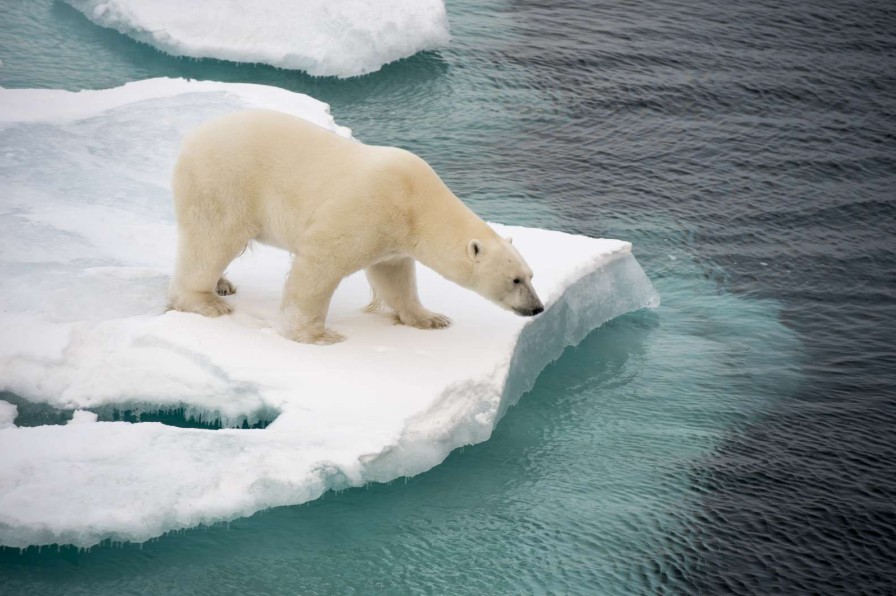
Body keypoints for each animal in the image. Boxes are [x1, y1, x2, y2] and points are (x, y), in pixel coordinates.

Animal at [171, 110, 544, 344]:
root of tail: (192, 137)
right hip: (225, 181)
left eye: (531, 275)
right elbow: (320, 262)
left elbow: (394, 277)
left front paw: (431, 319)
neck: (416, 200)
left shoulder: (394, 235)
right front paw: (315, 335)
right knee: (213, 238)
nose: (537, 308)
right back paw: (206, 301)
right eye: (515, 279)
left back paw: (223, 284)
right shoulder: (368, 206)